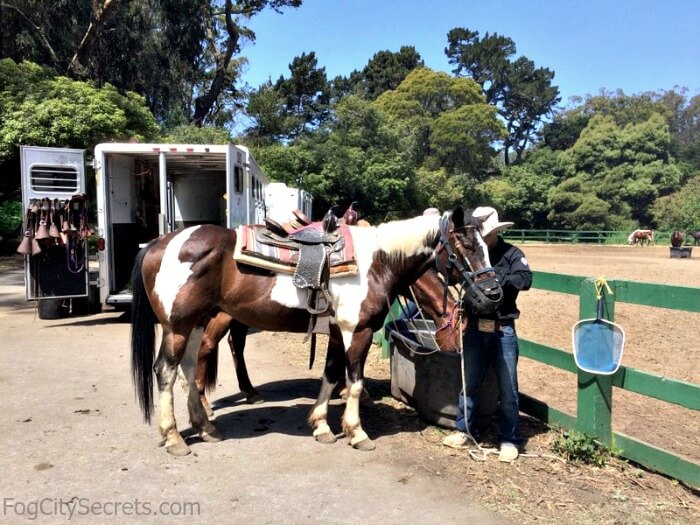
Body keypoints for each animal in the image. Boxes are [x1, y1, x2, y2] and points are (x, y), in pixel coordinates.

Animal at [130, 207, 504, 452]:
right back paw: (174, 437)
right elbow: (354, 383)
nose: (493, 293)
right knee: (166, 372)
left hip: (195, 323)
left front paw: (322, 426)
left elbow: (329, 375)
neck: (378, 262)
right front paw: (356, 433)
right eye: (467, 246)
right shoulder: (358, 331)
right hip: (178, 326)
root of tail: (158, 244)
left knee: (187, 368)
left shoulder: (339, 332)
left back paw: (206, 427)